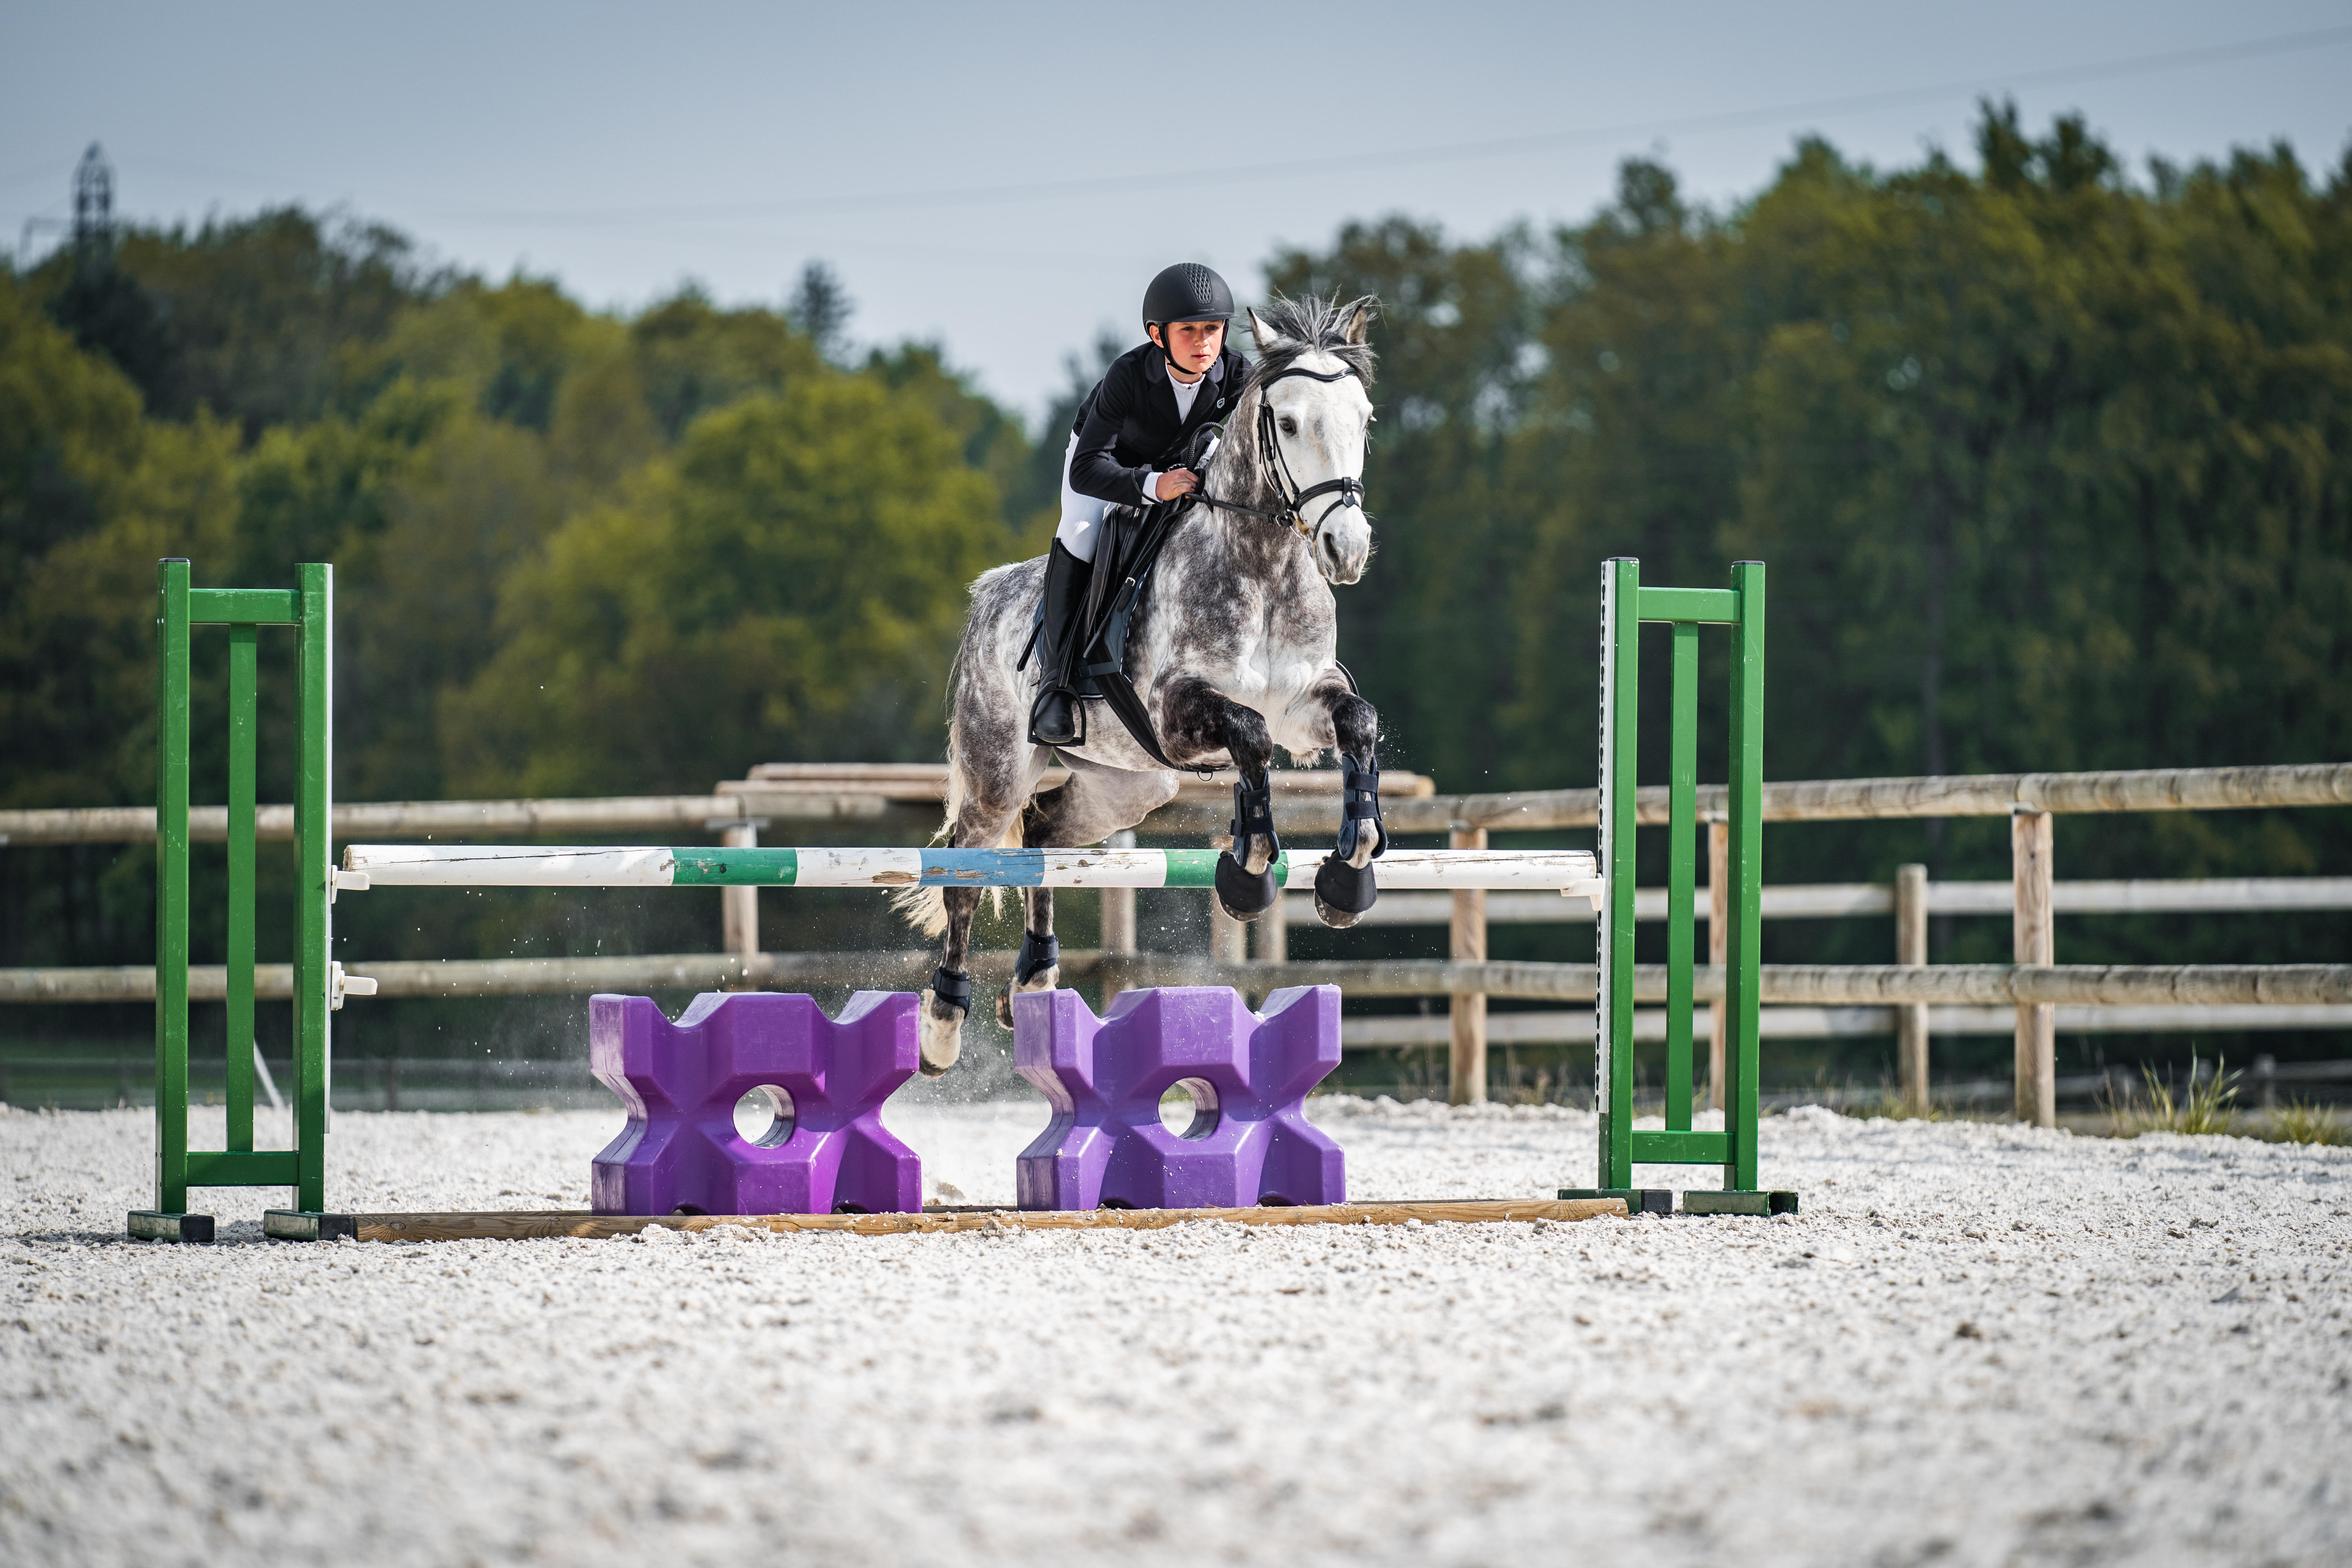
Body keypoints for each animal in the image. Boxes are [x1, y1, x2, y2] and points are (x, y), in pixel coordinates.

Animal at [894, 294, 1374, 1081]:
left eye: (1363, 418)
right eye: (1289, 422)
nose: (1348, 550)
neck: (1264, 561)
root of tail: (989, 595)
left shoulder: (1307, 706)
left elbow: (1356, 723)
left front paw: (1349, 876)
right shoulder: (1177, 713)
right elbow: (1250, 736)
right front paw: (1249, 872)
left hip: (1129, 786)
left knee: (1043, 834)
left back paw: (1035, 981)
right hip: (1001, 773)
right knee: (970, 864)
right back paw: (943, 1023)